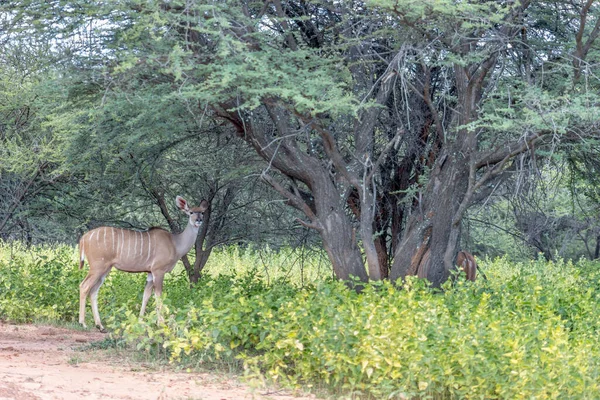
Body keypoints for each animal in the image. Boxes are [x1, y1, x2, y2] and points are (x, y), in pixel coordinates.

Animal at [77, 196, 209, 332]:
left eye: (202, 212)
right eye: (191, 212)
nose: (199, 220)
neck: (175, 243)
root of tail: (84, 238)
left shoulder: (150, 273)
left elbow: (146, 295)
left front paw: (140, 322)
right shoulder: (158, 271)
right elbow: (158, 296)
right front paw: (161, 324)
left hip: (105, 269)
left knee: (93, 291)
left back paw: (100, 325)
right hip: (97, 267)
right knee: (84, 286)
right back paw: (83, 323)